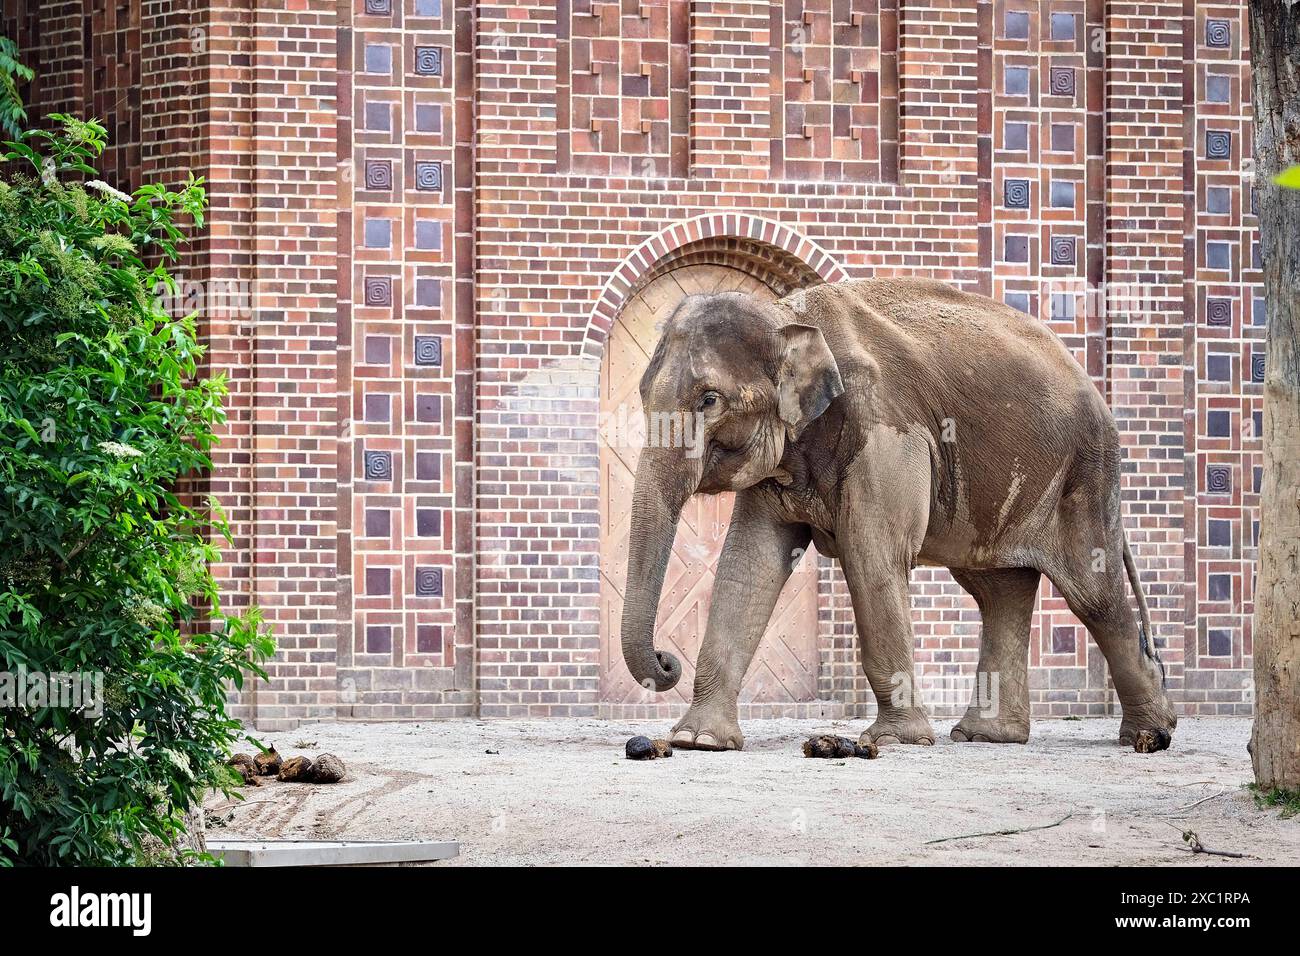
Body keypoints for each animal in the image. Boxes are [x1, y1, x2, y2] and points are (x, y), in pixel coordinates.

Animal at [618, 277, 1180, 754]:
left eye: (710, 399)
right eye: (641, 394)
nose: (666, 659)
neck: (790, 317)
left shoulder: (885, 427)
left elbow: (872, 554)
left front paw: (894, 740)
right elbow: (748, 564)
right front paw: (698, 741)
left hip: (1085, 472)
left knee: (1093, 593)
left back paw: (1149, 736)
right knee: (998, 589)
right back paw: (987, 737)